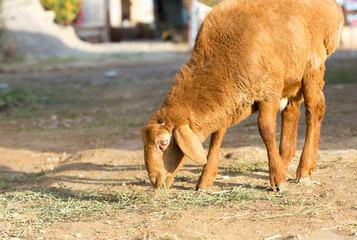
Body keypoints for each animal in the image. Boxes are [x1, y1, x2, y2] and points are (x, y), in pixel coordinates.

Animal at [140, 0, 344, 191]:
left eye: (163, 142)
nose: (155, 181)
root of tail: (334, 8)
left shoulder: (268, 92)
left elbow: (265, 129)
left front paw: (278, 180)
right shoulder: (230, 103)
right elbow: (217, 134)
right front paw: (205, 181)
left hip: (312, 65)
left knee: (314, 110)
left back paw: (303, 170)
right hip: (291, 77)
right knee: (292, 111)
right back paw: (284, 161)